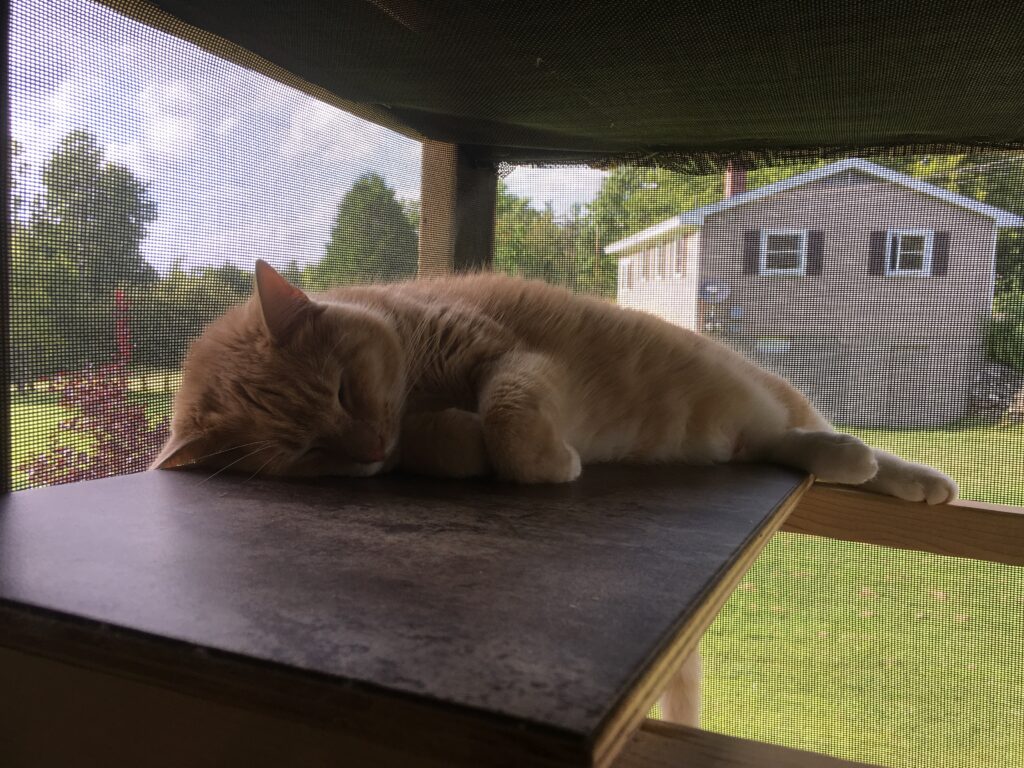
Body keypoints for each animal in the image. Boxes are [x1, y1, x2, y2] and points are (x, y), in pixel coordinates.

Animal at [152, 259, 958, 729]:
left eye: (345, 392)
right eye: (309, 452)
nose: (370, 451)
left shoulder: (509, 355)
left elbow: (510, 418)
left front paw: (543, 459)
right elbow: (457, 439)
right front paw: (459, 442)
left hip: (768, 393)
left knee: (823, 436)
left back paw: (904, 472)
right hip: (752, 432)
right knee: (788, 443)